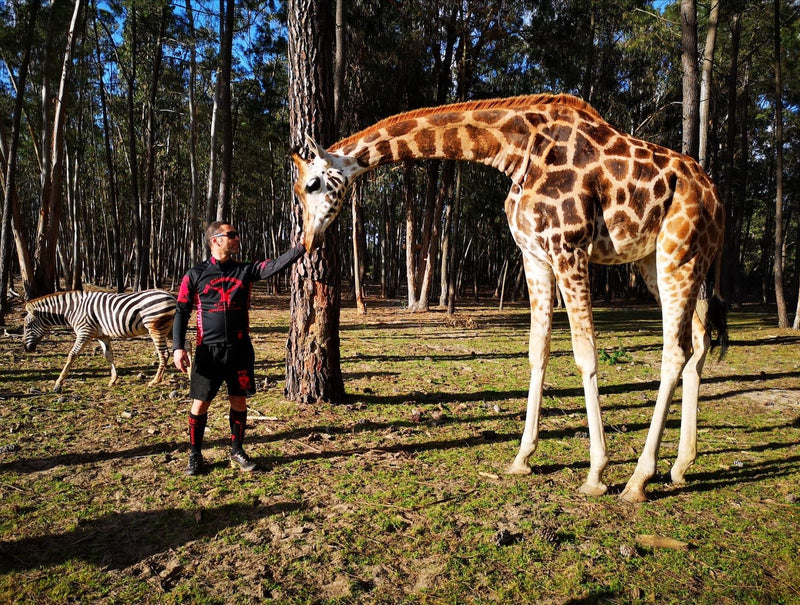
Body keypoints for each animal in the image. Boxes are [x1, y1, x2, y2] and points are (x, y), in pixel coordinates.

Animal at [23, 290, 177, 392]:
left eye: (27, 326)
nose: (26, 348)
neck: (72, 310)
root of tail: (171, 297)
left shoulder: (85, 332)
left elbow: (72, 355)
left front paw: (58, 384)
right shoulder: (102, 335)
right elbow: (108, 356)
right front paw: (113, 380)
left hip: (156, 328)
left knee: (164, 354)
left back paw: (155, 381)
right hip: (170, 329)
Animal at [292, 94, 724, 500]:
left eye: (312, 185)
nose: (307, 241)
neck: (516, 153)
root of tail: (716, 198)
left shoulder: (569, 248)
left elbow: (585, 353)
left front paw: (596, 473)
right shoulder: (534, 255)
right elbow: (537, 350)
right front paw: (522, 458)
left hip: (678, 254)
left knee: (675, 350)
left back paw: (638, 480)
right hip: (658, 261)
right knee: (698, 339)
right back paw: (681, 465)